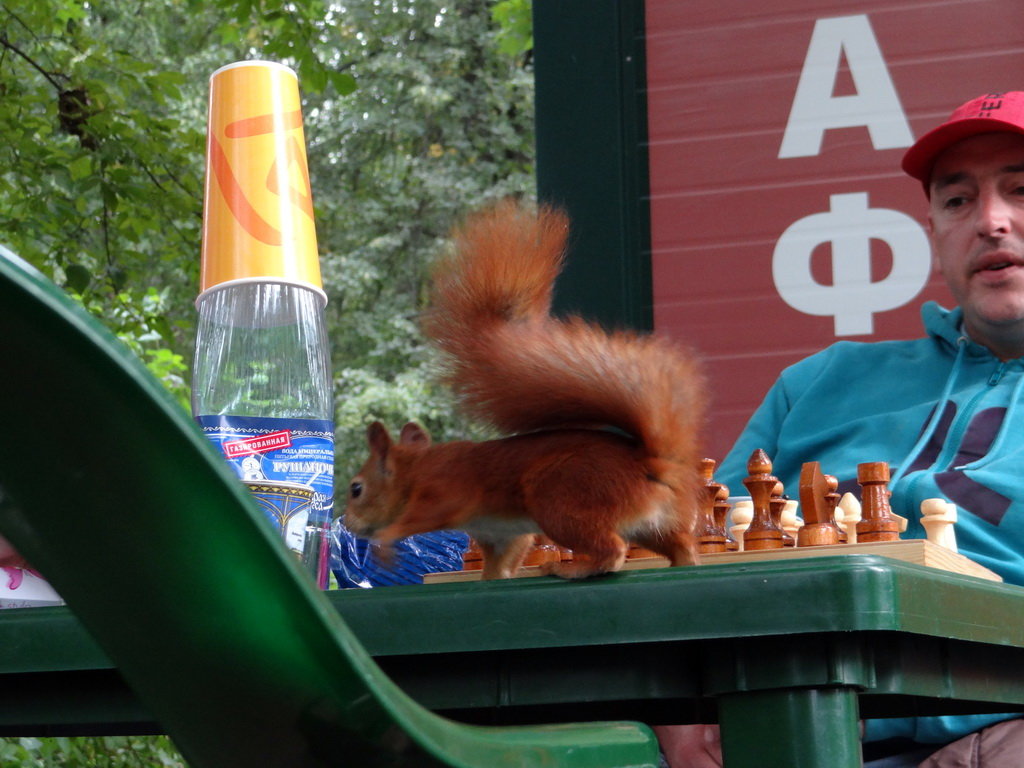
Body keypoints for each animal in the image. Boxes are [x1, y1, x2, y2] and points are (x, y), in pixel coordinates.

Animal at [342, 201, 704, 581]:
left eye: (357, 488)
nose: (348, 524)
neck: (416, 469)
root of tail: (649, 466)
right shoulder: (498, 534)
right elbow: (502, 561)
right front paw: (489, 580)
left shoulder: (443, 495)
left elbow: (411, 522)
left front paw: (384, 545)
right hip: (649, 527)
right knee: (679, 546)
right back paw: (682, 563)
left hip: (560, 500)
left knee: (613, 550)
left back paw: (571, 569)